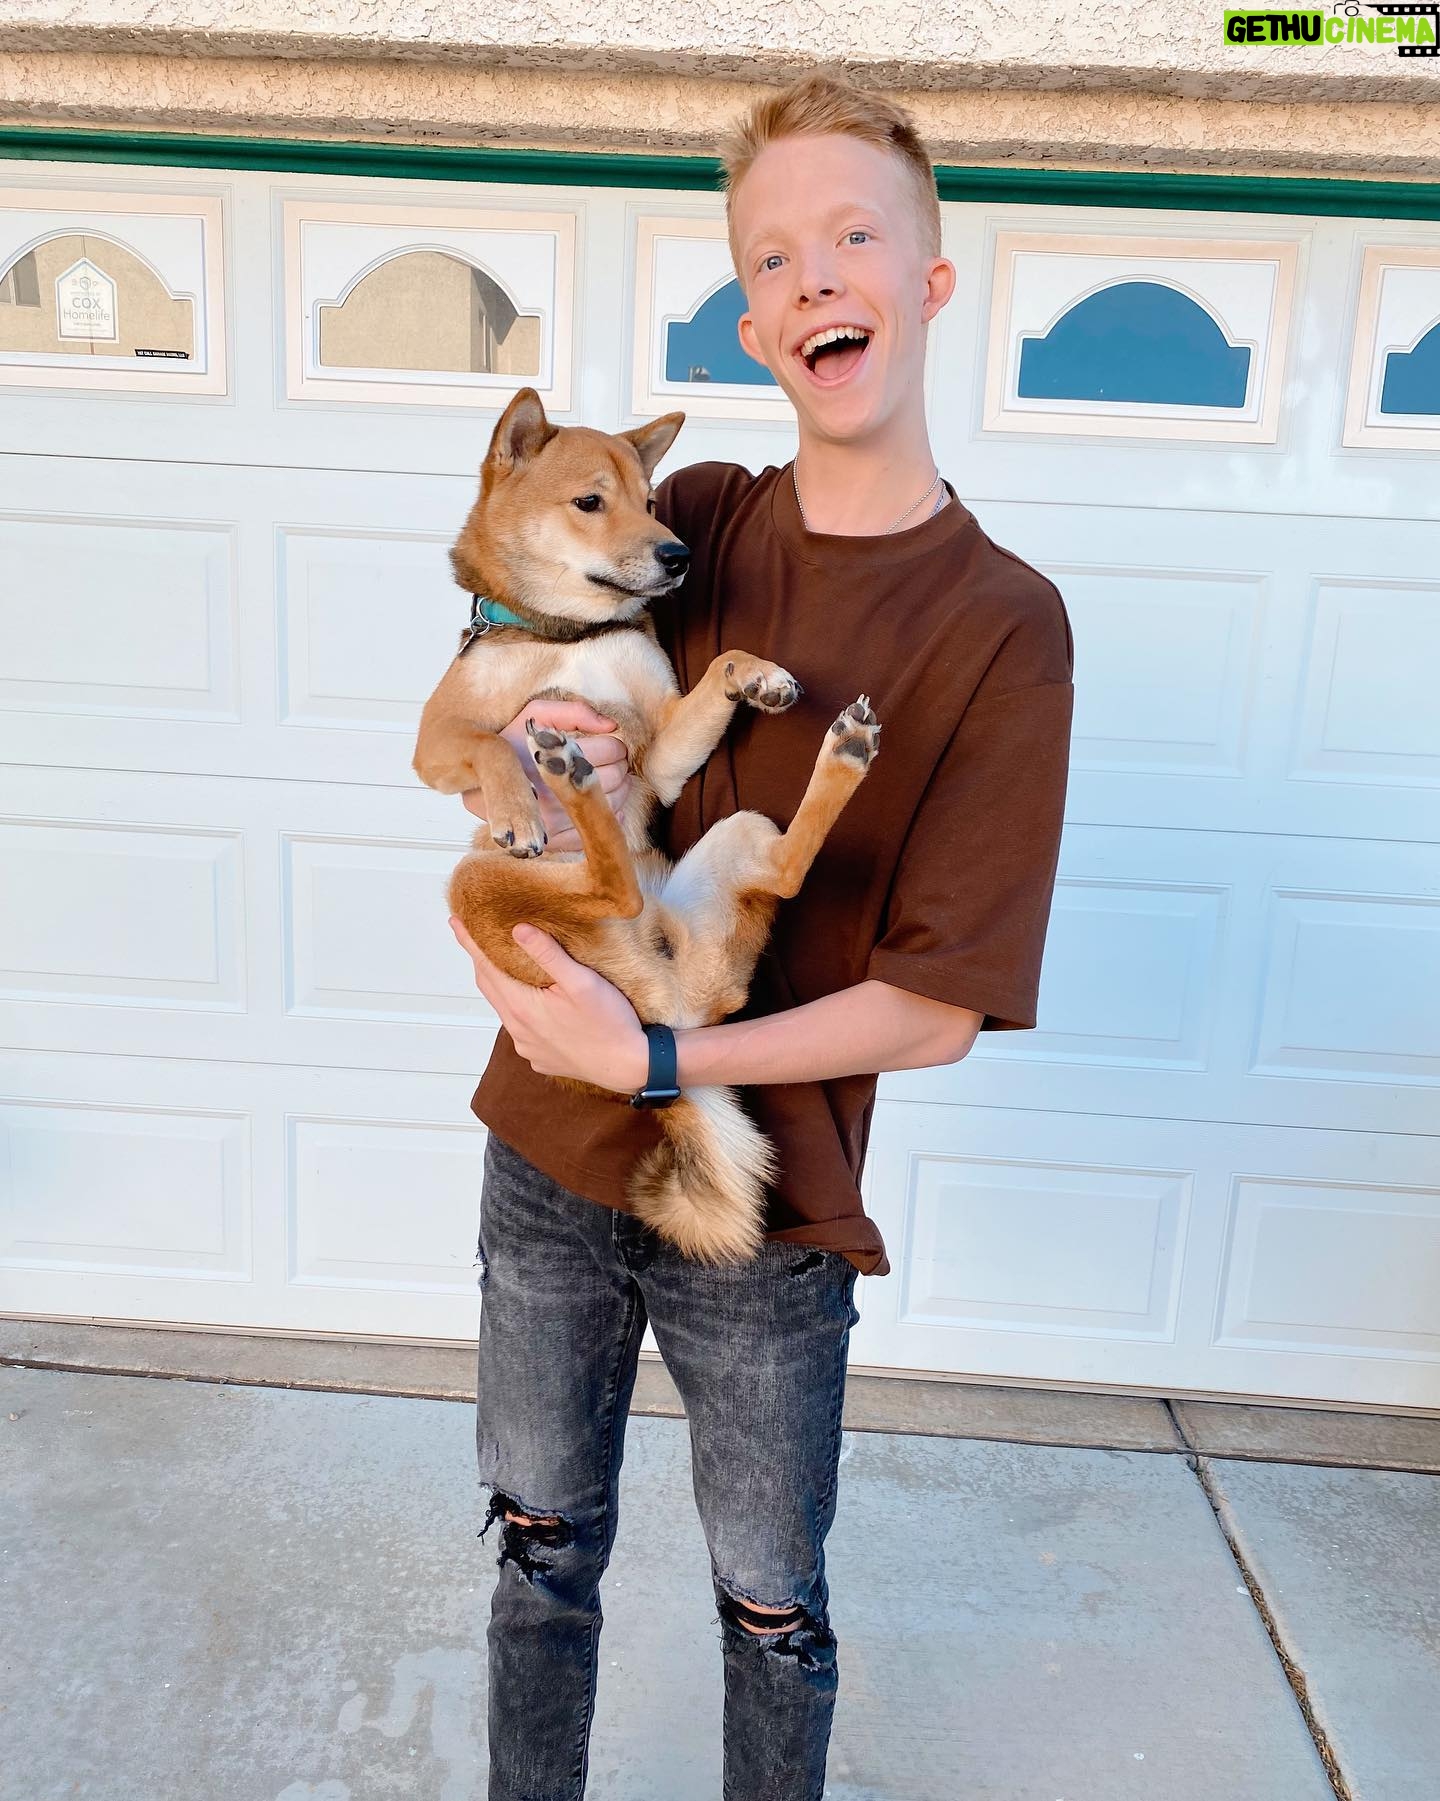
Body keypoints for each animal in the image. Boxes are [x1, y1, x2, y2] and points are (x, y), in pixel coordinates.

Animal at [412, 387, 880, 1264]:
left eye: (653, 501)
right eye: (590, 502)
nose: (678, 555)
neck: (569, 635)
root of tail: (667, 1022)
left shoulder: (658, 751)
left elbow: (723, 662)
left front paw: (760, 676)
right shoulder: (431, 742)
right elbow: (490, 744)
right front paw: (517, 805)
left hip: (731, 831)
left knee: (711, 876)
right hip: (480, 878)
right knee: (632, 883)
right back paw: (565, 781)